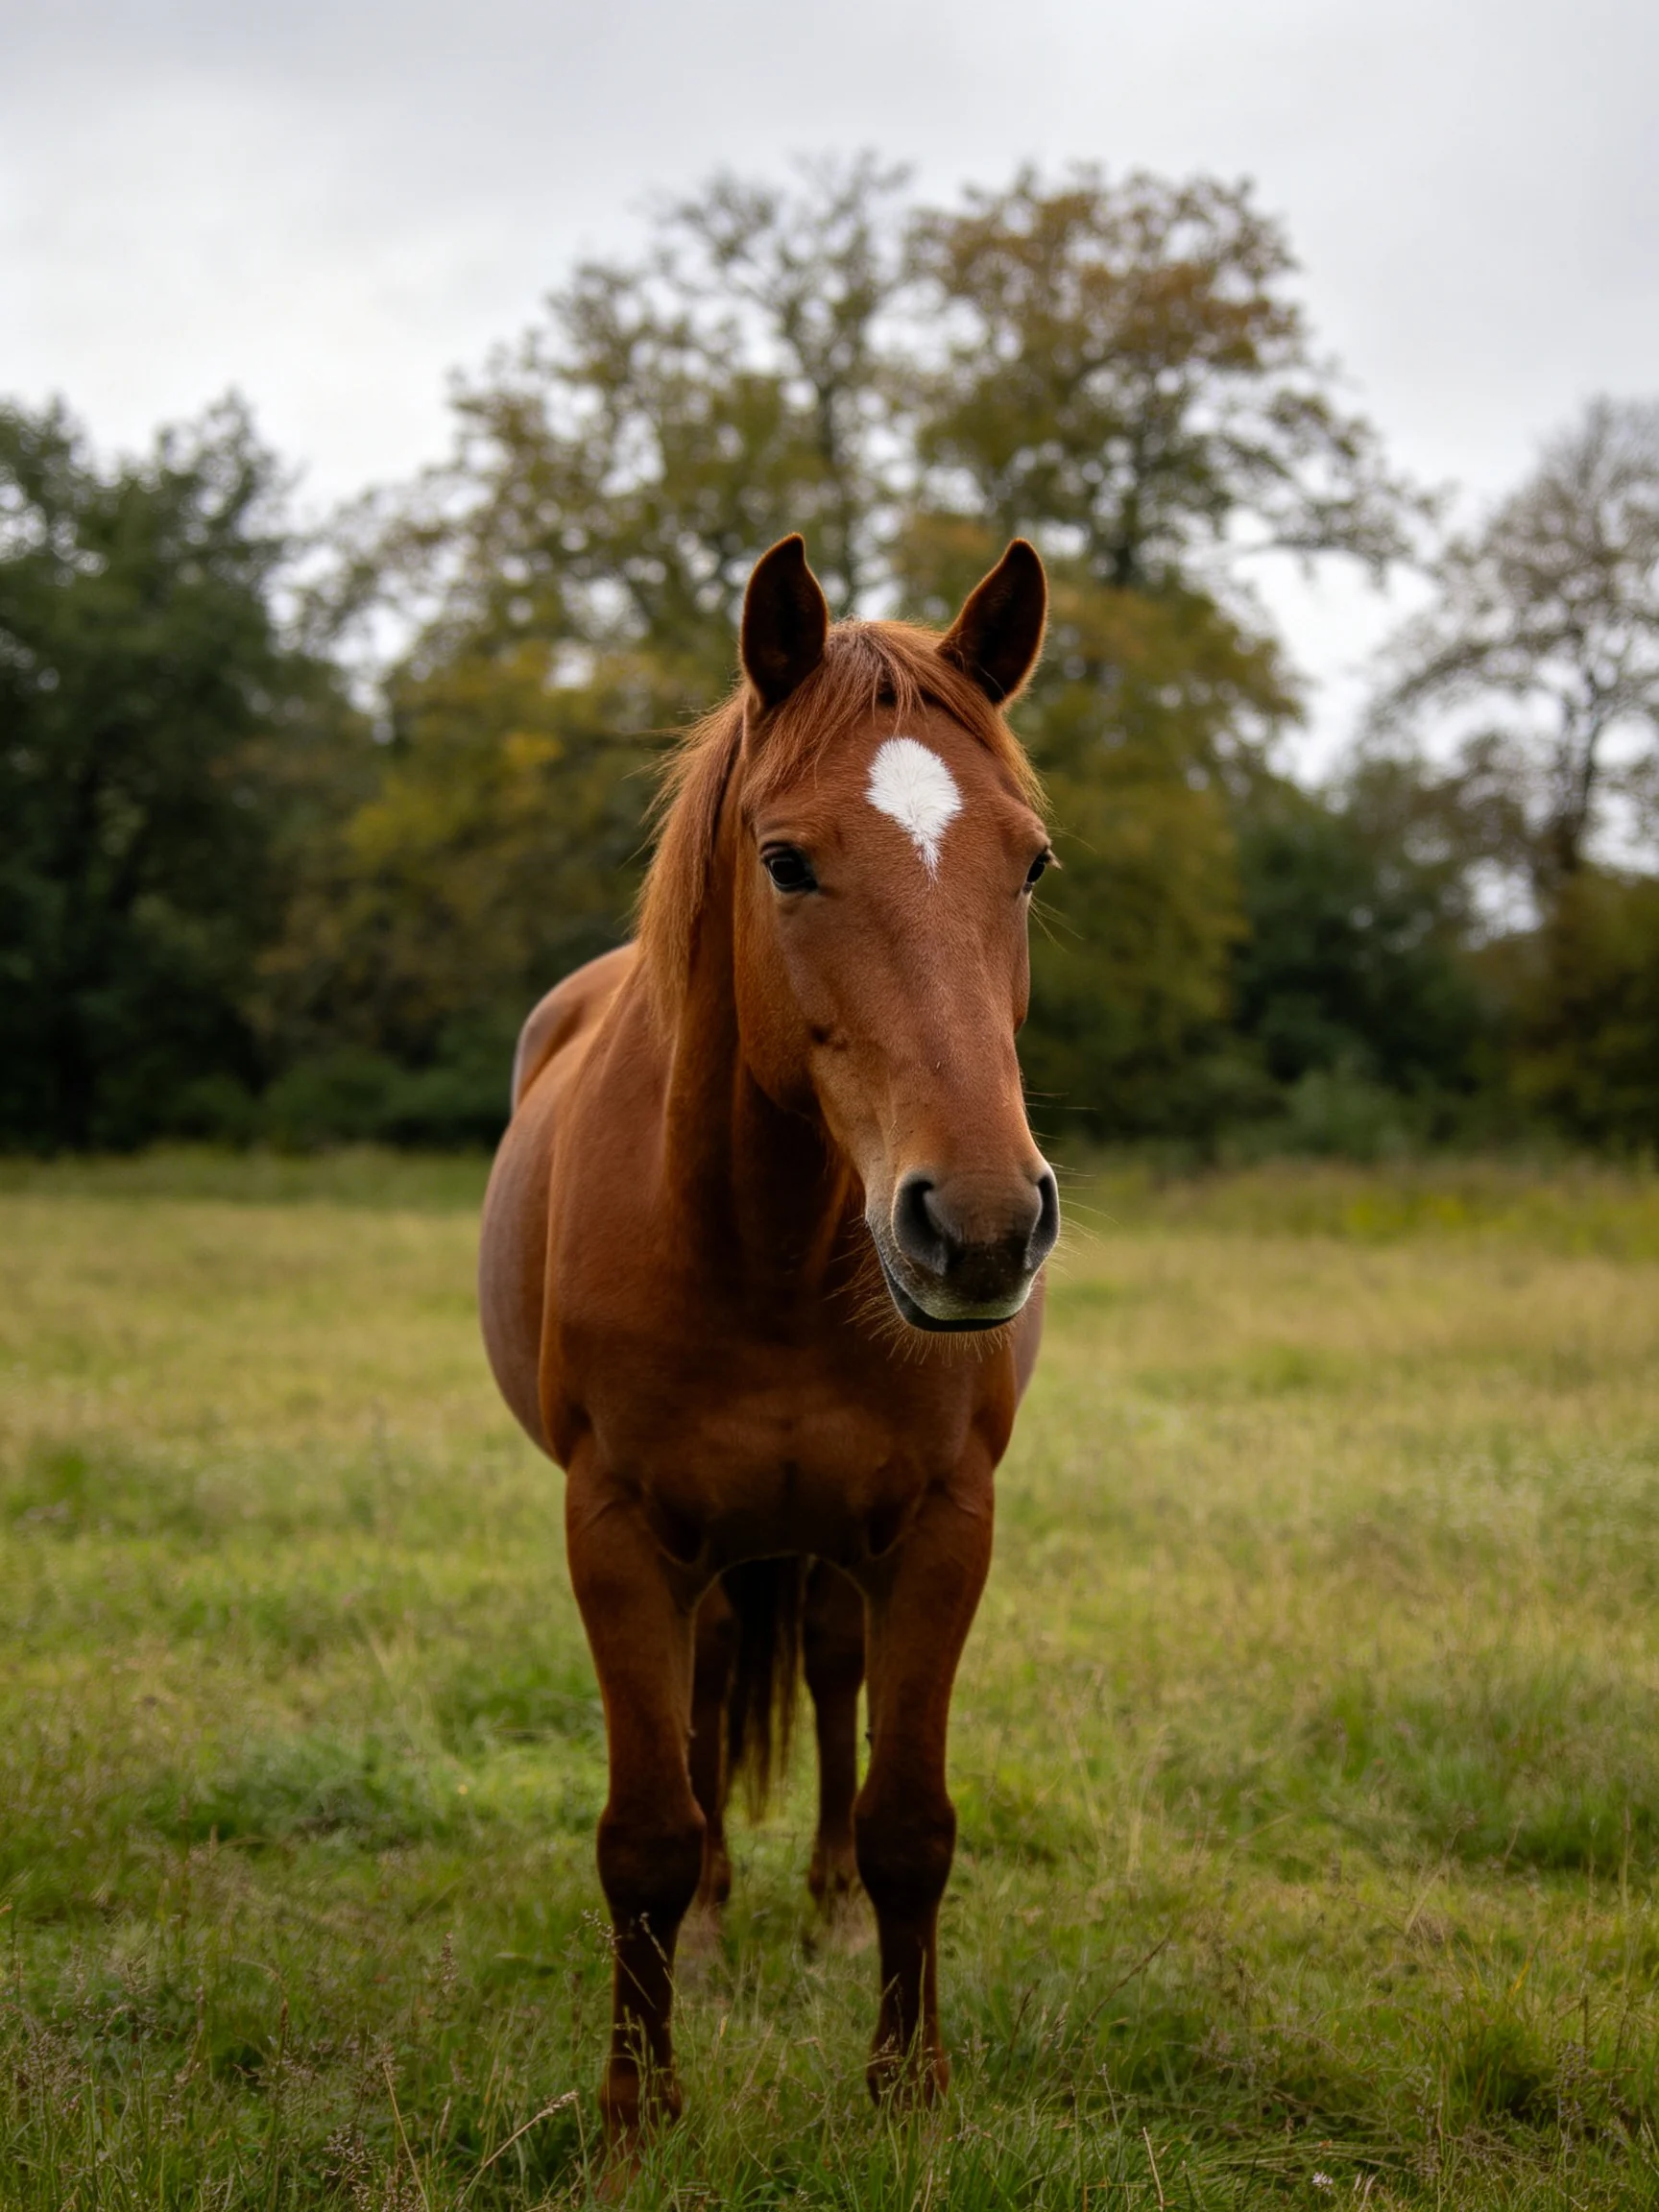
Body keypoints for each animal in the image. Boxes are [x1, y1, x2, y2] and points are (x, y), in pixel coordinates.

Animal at [478, 532, 1059, 2145]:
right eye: (787, 859)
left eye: (1031, 863)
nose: (980, 1226)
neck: (778, 1253)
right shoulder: (616, 1528)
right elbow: (643, 1835)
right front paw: (635, 2115)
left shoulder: (944, 1525)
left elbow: (914, 1822)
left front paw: (909, 2092)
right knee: (713, 1693)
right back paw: (728, 1912)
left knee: (827, 1675)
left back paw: (822, 1907)